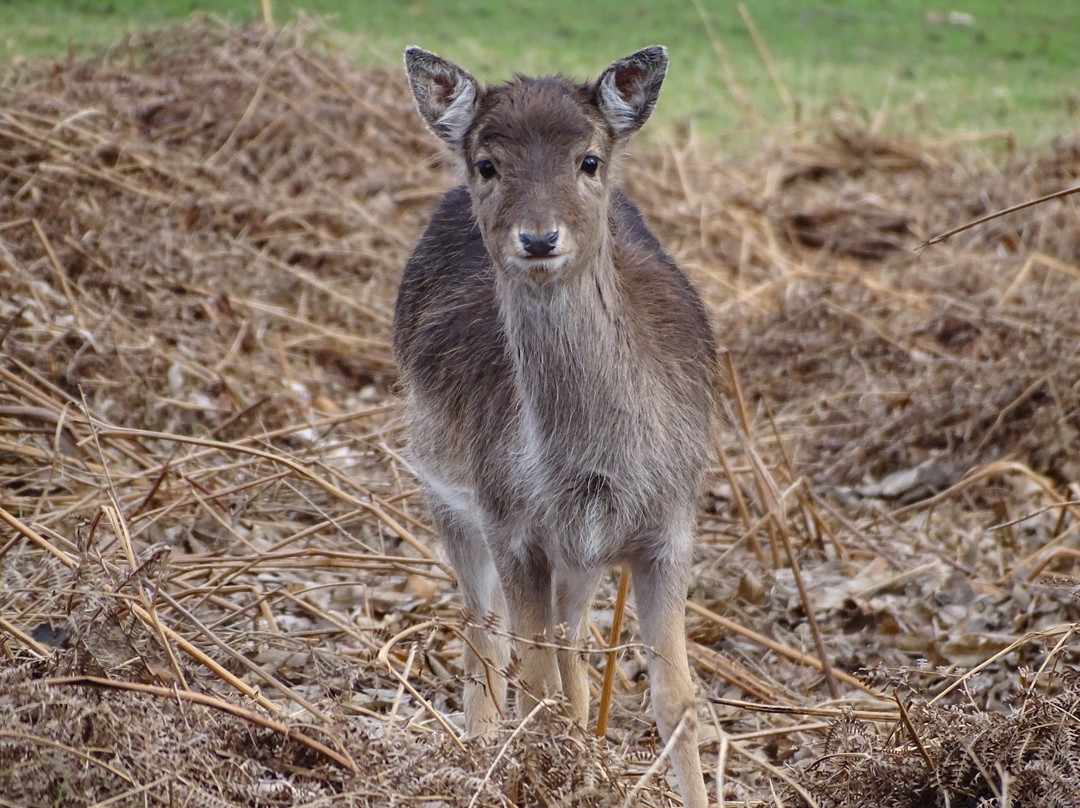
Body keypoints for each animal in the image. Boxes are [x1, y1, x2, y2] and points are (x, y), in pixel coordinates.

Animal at [395, 45, 717, 808]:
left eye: (589, 158)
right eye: (489, 164)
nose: (539, 237)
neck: (594, 469)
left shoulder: (671, 527)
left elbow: (678, 699)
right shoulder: (512, 525)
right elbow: (532, 685)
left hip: (582, 559)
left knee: (570, 647)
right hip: (444, 496)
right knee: (486, 640)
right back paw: (479, 755)